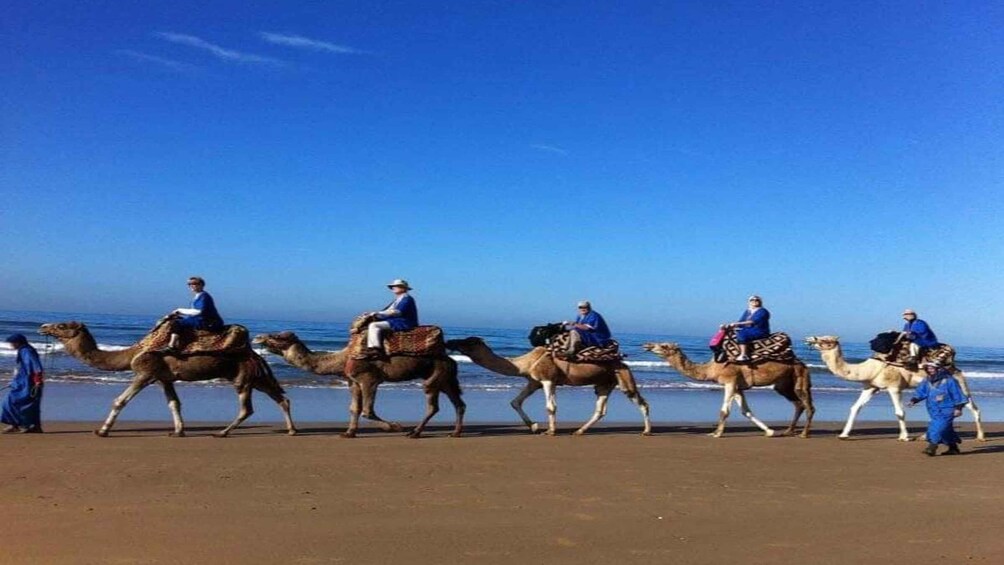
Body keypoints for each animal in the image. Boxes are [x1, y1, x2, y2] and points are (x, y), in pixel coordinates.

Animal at [39, 323, 297, 437]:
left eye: (62, 325)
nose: (43, 327)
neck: (131, 354)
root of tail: (256, 355)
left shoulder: (146, 373)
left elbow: (120, 401)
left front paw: (102, 430)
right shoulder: (164, 378)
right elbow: (174, 403)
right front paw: (178, 431)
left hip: (242, 378)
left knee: (247, 408)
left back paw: (222, 432)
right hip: (257, 378)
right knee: (281, 399)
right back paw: (292, 430)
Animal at [255, 331, 465, 437]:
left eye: (277, 337)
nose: (257, 337)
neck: (342, 359)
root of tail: (450, 359)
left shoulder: (369, 379)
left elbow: (367, 411)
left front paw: (395, 427)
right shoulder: (353, 382)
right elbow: (354, 408)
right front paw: (349, 432)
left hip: (435, 375)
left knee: (433, 404)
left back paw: (415, 432)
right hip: (446, 378)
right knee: (458, 403)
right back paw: (455, 432)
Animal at [445, 339, 650, 435]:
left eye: (467, 341)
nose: (449, 342)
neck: (525, 363)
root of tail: (623, 361)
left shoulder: (548, 380)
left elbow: (551, 406)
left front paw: (550, 431)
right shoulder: (533, 381)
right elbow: (515, 402)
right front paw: (534, 426)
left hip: (622, 376)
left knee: (640, 401)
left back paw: (646, 431)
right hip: (604, 384)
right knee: (600, 409)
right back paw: (579, 431)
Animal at [642, 345, 815, 437]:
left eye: (664, 346)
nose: (648, 345)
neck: (711, 369)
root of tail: (803, 364)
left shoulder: (730, 381)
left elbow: (724, 410)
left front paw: (716, 433)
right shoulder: (738, 387)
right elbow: (746, 411)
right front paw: (769, 431)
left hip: (799, 377)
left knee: (808, 405)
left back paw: (804, 434)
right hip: (782, 385)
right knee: (798, 404)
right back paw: (788, 431)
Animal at [803, 335, 983, 441]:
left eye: (826, 340)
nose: (809, 339)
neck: (869, 368)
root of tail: (953, 362)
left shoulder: (894, 386)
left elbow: (899, 412)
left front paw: (904, 437)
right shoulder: (870, 387)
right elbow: (855, 408)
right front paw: (843, 434)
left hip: (957, 382)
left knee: (972, 408)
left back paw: (981, 437)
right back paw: (926, 436)